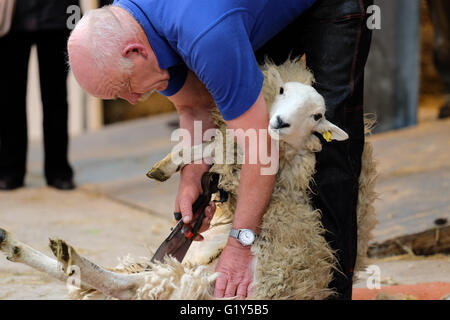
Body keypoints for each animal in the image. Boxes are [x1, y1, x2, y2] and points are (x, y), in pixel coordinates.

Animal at [0, 58, 376, 300]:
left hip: (201, 279)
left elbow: (213, 147)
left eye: (317, 115)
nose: (280, 122)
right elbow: (207, 146)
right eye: (282, 90)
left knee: (120, 285)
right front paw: (169, 166)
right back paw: (18, 246)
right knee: (115, 282)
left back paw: (60, 254)